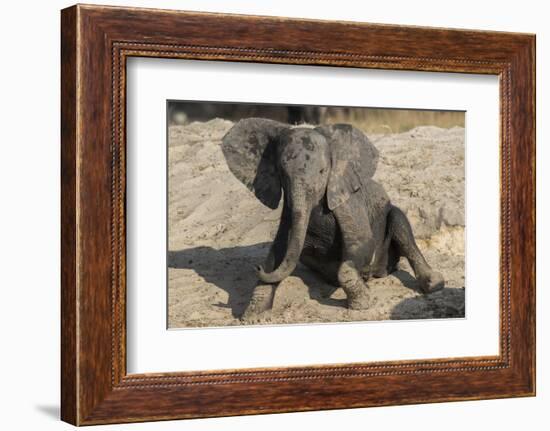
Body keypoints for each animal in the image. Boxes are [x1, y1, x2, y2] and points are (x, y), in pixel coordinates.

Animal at [222, 116, 446, 318]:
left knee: (401, 225)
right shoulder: (288, 210)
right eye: (282, 173)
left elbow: (362, 243)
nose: (256, 266)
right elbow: (278, 253)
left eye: (323, 171)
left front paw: (362, 305)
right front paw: (253, 316)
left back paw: (434, 284)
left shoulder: (346, 201)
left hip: (391, 219)